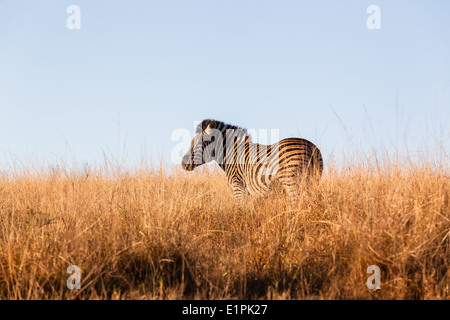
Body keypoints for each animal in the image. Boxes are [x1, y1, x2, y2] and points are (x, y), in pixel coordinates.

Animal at [180, 120, 324, 202]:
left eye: (200, 143)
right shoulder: (251, 193)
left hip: (291, 182)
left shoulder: (238, 187)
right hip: (313, 180)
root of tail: (311, 147)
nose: (183, 163)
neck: (231, 153)